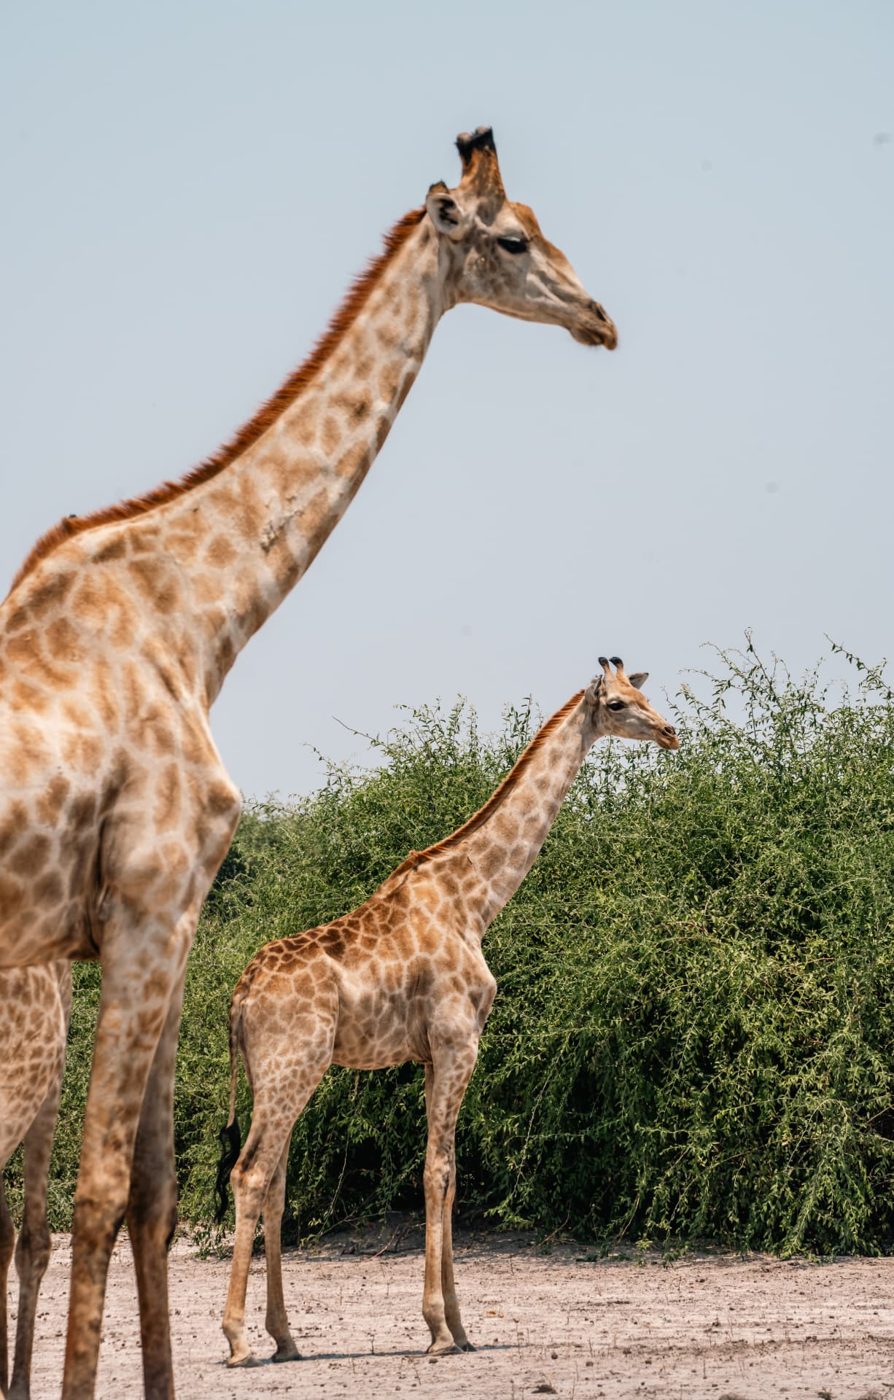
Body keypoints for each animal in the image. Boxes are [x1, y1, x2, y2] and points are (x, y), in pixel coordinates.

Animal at [0, 127, 617, 1398]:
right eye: (512, 237)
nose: (602, 317)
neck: (195, 612)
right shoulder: (154, 906)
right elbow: (110, 1193)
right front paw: (432, 1324)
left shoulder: (163, 926)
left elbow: (152, 1193)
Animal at [215, 658, 679, 1365]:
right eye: (621, 704)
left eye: (644, 693)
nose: (671, 732)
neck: (474, 902)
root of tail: (239, 998)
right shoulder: (459, 1042)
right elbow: (437, 1172)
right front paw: (437, 1329)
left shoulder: (435, 1052)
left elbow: (451, 1175)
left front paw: (459, 1327)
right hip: (292, 1067)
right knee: (251, 1173)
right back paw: (239, 1338)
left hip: (285, 1075)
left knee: (275, 1183)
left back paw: (286, 1338)